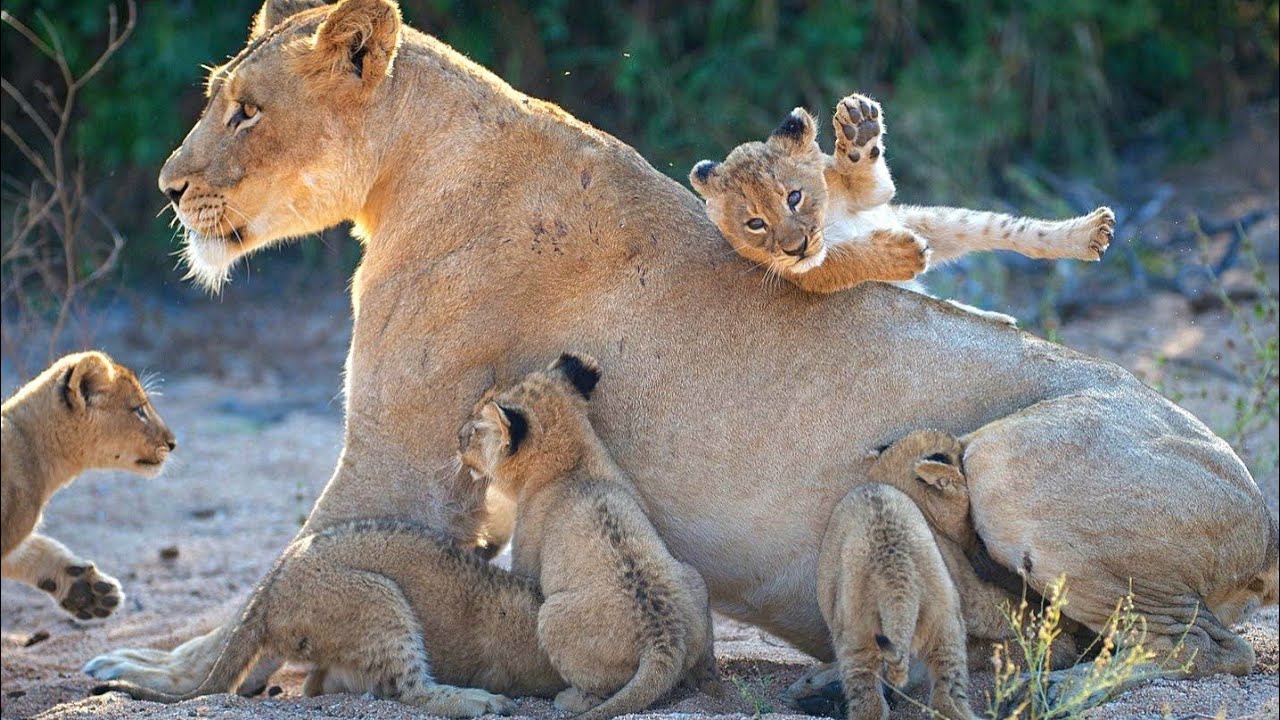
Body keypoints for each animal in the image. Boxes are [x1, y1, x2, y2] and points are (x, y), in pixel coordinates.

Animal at [459, 353, 719, 720]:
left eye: (477, 429)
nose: (457, 438)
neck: (572, 460)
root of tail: (663, 641)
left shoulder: (526, 554)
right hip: (693, 577)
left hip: (551, 616)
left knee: (597, 690)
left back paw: (570, 699)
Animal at [688, 96, 1114, 309]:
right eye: (754, 224)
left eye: (794, 197)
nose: (796, 248)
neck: (830, 218)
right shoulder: (802, 278)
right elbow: (841, 260)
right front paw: (900, 255)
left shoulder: (874, 199)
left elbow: (867, 179)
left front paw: (858, 128)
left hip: (939, 219)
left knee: (1007, 228)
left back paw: (1092, 232)